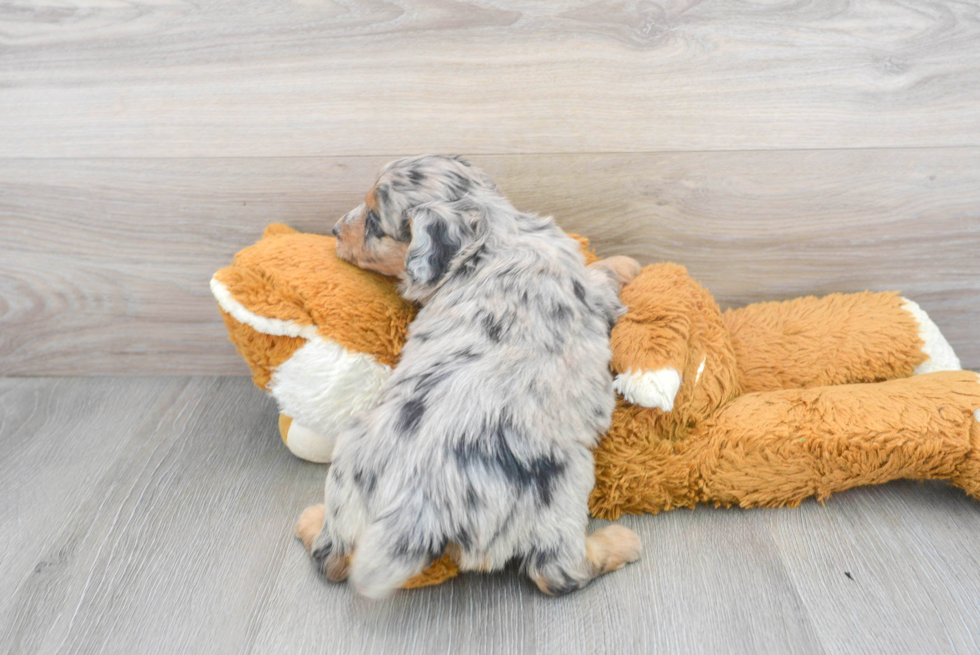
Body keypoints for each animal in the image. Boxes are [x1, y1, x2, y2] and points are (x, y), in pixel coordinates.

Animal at [292, 155, 644, 600]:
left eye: (374, 221)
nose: (336, 229)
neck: (493, 236)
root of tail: (419, 503)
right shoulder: (593, 294)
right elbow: (601, 274)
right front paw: (626, 262)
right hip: (563, 484)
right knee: (556, 573)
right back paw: (619, 542)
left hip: (351, 455)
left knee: (334, 555)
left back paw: (311, 519)